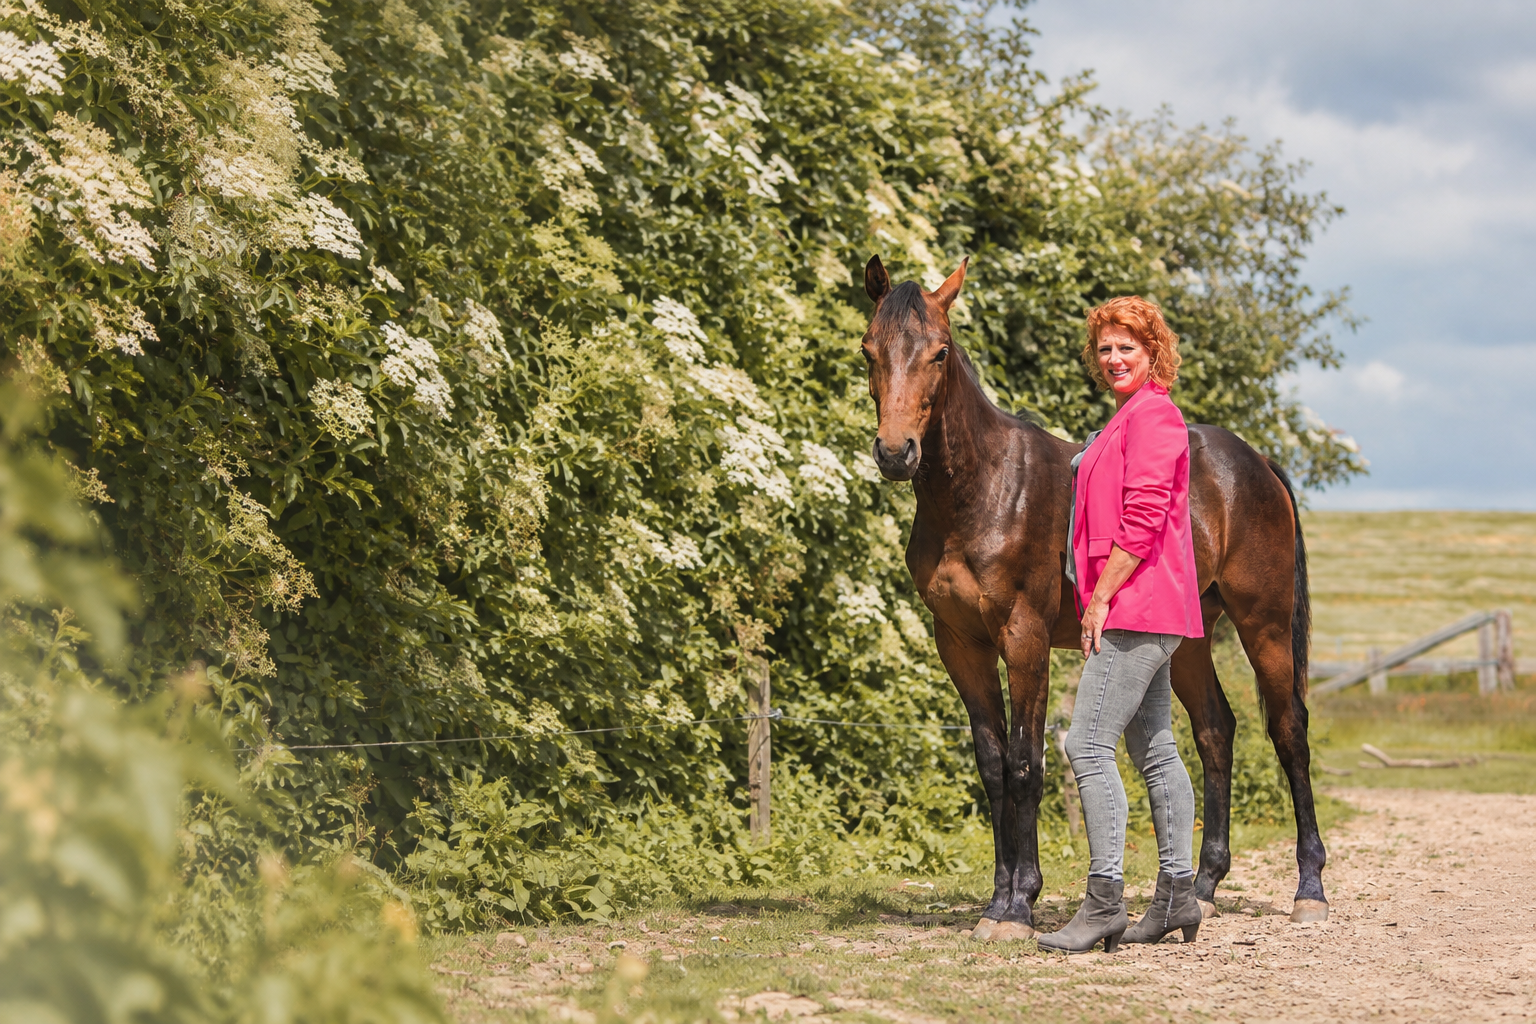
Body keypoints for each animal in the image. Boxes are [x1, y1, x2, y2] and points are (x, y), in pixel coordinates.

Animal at [859, 255, 1327, 940]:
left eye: (939, 352)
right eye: (869, 350)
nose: (896, 453)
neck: (983, 490)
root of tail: (1256, 463)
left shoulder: (1023, 638)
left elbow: (1026, 764)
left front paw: (1019, 905)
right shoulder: (961, 645)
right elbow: (992, 765)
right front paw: (997, 901)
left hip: (1263, 623)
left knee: (1289, 731)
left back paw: (1310, 889)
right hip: (1189, 640)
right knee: (1216, 731)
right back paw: (1204, 889)